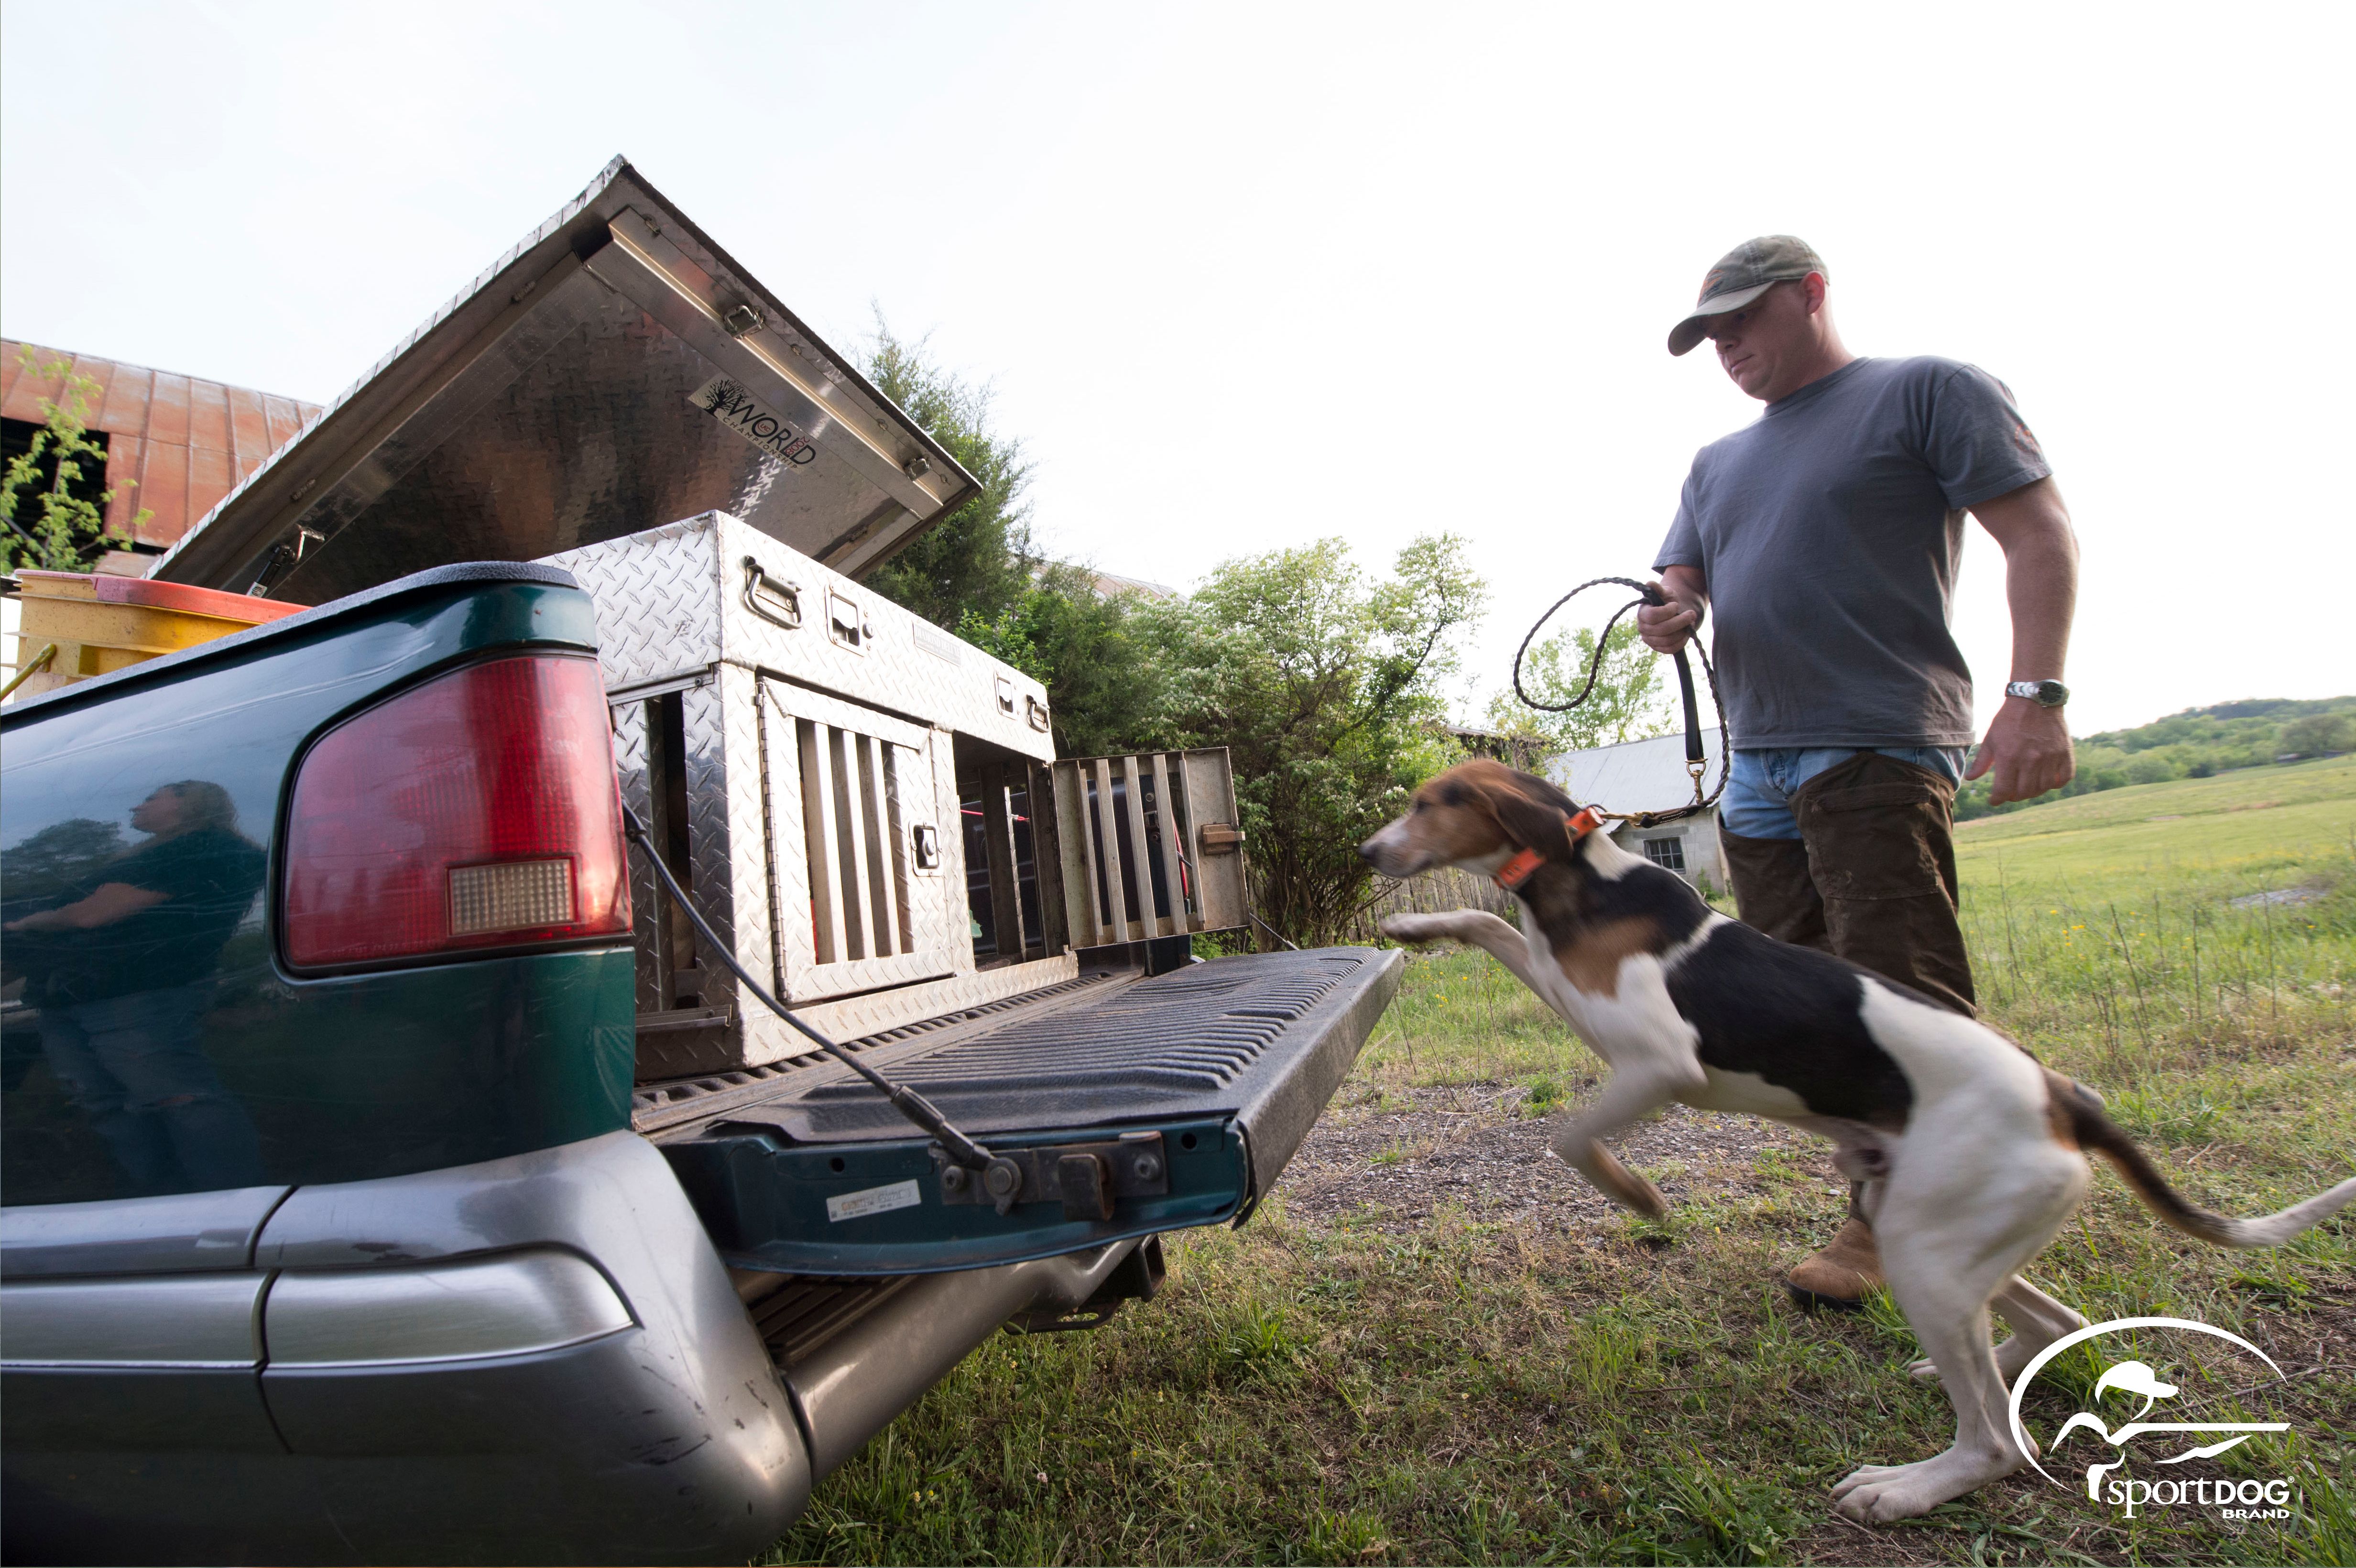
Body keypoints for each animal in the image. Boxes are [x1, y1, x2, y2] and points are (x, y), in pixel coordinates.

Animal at [1366, 758, 2356, 1516]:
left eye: (1431, 801)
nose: (1368, 854)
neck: (1583, 874)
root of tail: (2063, 1098)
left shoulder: (1658, 1064)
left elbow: (1571, 1139)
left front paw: (1635, 1197)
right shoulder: (1560, 984)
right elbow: (1485, 922)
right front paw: (1415, 924)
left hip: (1923, 1249)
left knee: (1994, 1440)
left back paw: (1909, 1488)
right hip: (1924, 1224)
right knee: (2052, 1323)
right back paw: (1996, 1367)